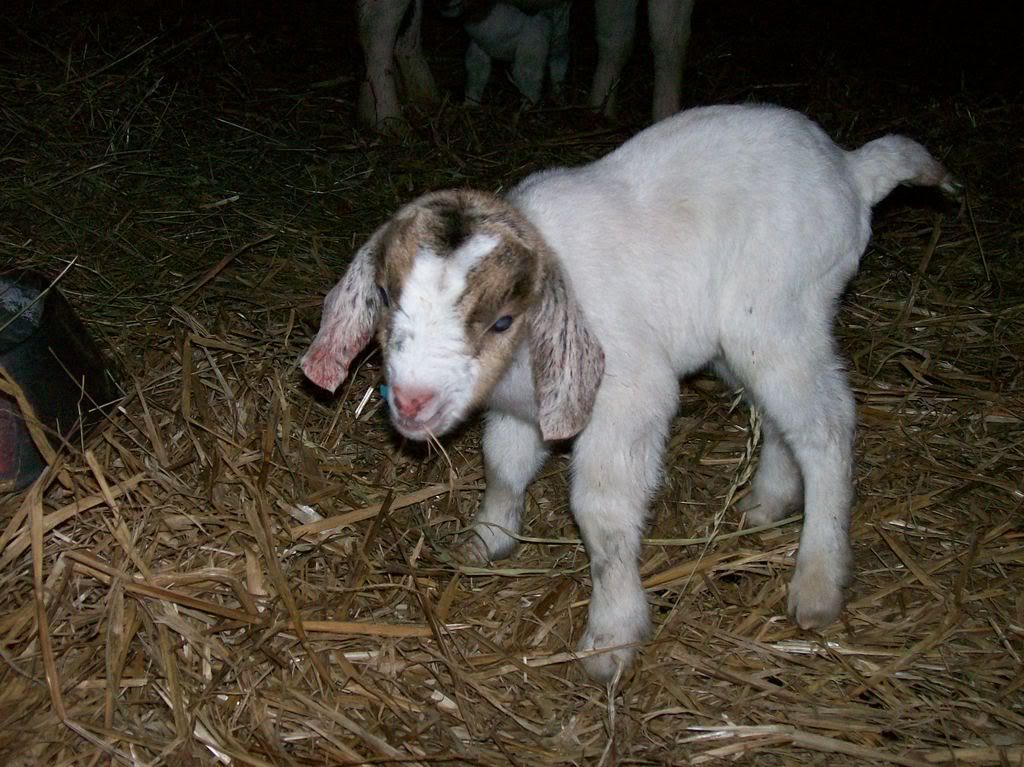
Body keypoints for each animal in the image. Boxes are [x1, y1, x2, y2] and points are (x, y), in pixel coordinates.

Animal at [301, 103, 958, 681]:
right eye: (386, 296)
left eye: (502, 321)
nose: (411, 402)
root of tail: (851, 169)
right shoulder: (520, 408)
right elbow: (505, 466)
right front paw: (486, 539)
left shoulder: (628, 397)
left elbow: (604, 514)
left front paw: (611, 636)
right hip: (740, 338)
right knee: (780, 416)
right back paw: (767, 501)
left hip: (782, 310)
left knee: (825, 423)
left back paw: (818, 579)